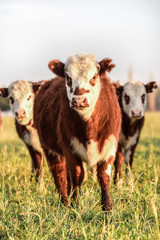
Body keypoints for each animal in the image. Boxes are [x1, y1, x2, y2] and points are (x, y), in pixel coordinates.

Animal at [33, 53, 121, 211]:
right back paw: (64, 203)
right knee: (59, 174)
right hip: (50, 149)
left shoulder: (110, 146)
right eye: (68, 78)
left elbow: (104, 175)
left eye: (94, 77)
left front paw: (107, 207)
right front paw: (75, 205)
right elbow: (77, 175)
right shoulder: (69, 148)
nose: (79, 100)